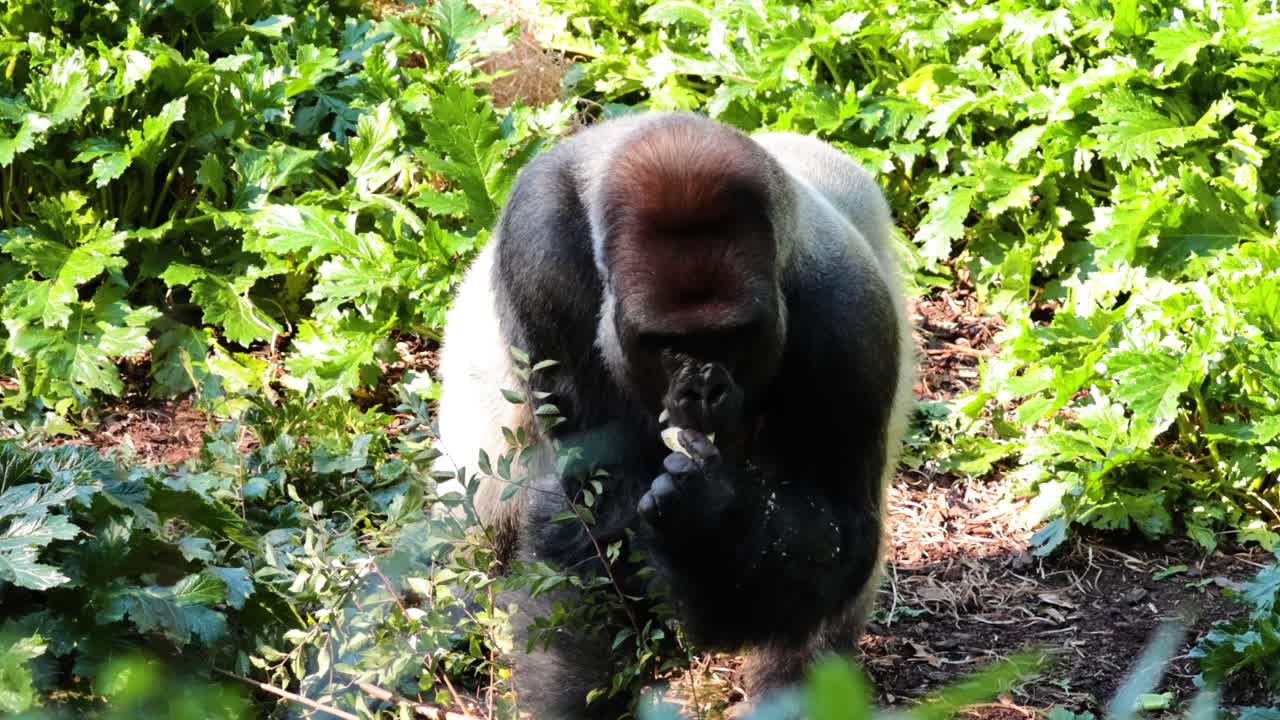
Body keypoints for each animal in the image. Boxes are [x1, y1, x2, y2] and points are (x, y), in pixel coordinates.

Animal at [430, 111, 914, 719]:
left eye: (731, 337)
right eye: (665, 343)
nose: (704, 388)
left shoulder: (852, 317)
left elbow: (836, 530)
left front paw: (708, 521)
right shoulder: (541, 252)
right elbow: (588, 515)